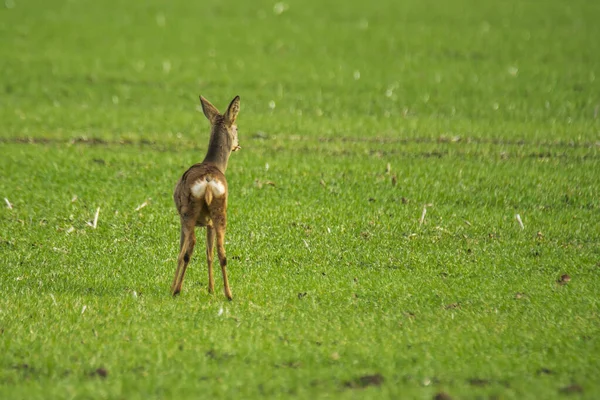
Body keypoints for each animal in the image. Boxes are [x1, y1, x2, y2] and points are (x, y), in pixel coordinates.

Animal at [170, 94, 240, 300]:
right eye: (237, 128)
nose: (238, 145)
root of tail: (208, 183)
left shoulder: (181, 218)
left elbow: (180, 251)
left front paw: (171, 286)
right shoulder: (209, 223)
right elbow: (209, 253)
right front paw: (211, 288)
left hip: (189, 212)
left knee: (188, 248)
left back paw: (177, 289)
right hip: (220, 212)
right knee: (221, 252)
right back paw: (228, 294)